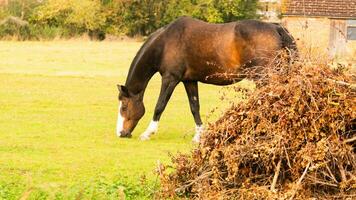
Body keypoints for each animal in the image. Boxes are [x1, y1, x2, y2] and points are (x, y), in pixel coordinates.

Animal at [115, 16, 296, 142]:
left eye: (124, 106)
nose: (121, 133)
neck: (165, 43)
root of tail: (275, 27)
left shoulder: (170, 79)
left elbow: (160, 106)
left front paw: (147, 133)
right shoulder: (189, 81)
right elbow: (194, 107)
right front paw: (198, 136)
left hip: (264, 77)